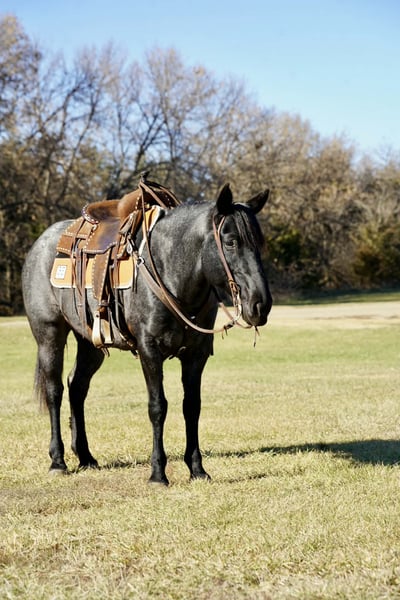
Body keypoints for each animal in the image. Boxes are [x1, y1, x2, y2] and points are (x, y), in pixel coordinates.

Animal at [21, 182, 272, 485]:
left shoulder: (196, 354)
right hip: (49, 335)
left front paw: (197, 469)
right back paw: (58, 460)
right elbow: (157, 407)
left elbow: (192, 406)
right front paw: (158, 473)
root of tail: (40, 244)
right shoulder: (149, 350)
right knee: (54, 390)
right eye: (231, 241)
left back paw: (86, 456)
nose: (260, 304)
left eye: (260, 243)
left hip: (90, 343)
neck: (172, 272)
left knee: (77, 386)